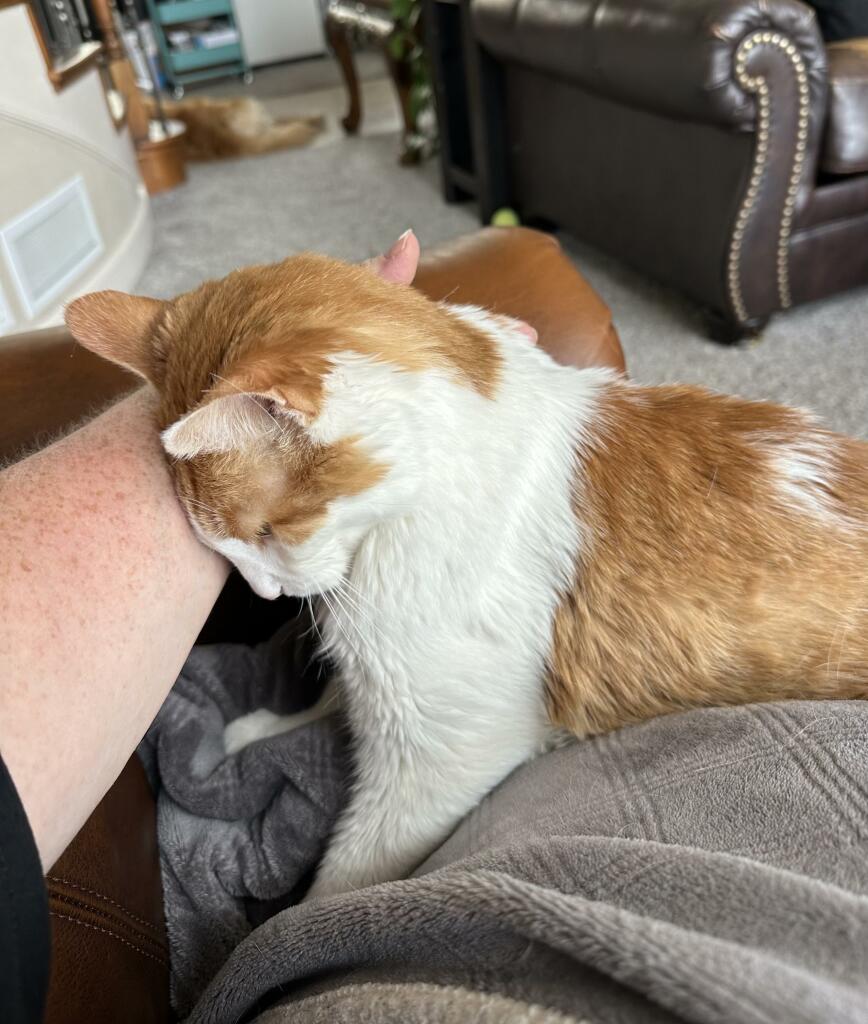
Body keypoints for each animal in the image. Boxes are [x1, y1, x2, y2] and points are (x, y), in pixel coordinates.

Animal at [67, 237, 868, 897]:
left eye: (269, 530)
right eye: (220, 547)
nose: (264, 591)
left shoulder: (442, 754)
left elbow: (343, 876)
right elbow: (330, 700)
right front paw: (260, 731)